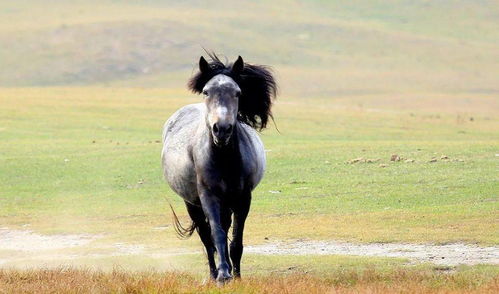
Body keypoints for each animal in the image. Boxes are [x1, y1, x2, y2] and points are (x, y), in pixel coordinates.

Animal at [161, 52, 276, 282]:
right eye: (206, 91)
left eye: (237, 92)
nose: (221, 129)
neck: (224, 160)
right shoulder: (209, 197)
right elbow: (217, 235)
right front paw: (223, 274)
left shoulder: (243, 198)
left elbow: (237, 240)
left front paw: (237, 276)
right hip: (192, 204)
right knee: (206, 238)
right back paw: (214, 274)